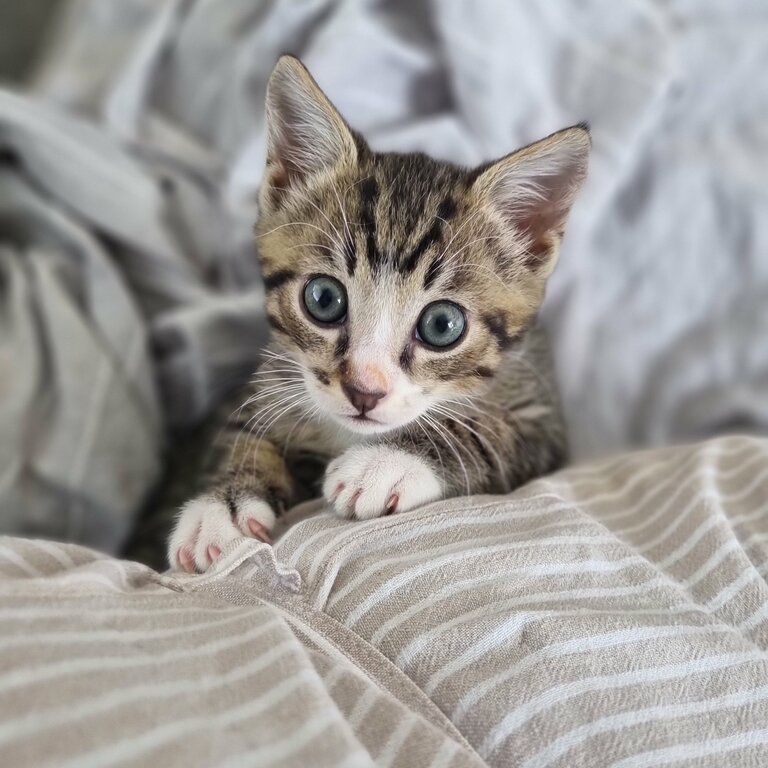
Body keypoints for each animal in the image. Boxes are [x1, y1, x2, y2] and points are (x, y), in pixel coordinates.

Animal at [166, 55, 588, 568]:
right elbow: (240, 430)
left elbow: (491, 433)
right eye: (324, 299)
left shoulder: (543, 418)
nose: (364, 392)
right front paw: (223, 504)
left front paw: (388, 462)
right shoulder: (270, 382)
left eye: (442, 325)